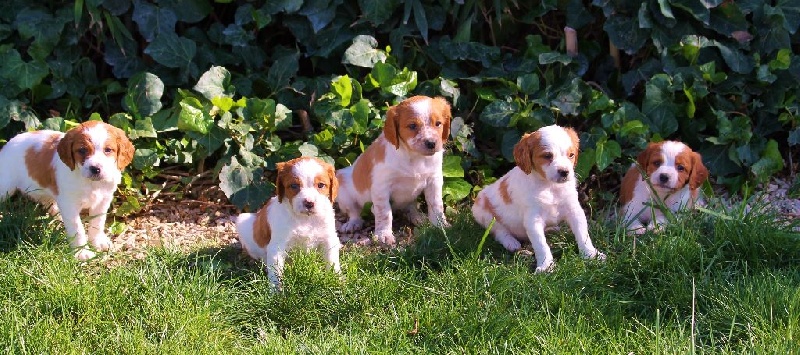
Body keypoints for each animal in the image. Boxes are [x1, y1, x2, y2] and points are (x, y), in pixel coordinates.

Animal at [0, 121, 134, 260]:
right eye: (82, 150)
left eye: (108, 150)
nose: (95, 169)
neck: (90, 183)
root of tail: (6, 146)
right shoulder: (69, 204)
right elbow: (77, 228)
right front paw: (82, 252)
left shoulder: (103, 199)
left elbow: (98, 222)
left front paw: (98, 242)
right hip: (5, 186)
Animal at [234, 157, 340, 288]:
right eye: (294, 185)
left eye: (321, 185)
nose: (309, 203)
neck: (305, 219)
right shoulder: (277, 247)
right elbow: (276, 274)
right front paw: (276, 292)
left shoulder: (329, 239)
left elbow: (332, 262)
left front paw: (337, 283)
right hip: (242, 221)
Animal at [334, 96, 454, 246]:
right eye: (412, 126)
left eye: (438, 123)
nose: (431, 143)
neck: (415, 157)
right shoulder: (381, 187)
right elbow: (385, 213)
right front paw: (384, 235)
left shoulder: (434, 180)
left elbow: (436, 204)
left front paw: (441, 225)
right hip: (344, 191)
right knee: (355, 212)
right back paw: (353, 224)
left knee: (411, 206)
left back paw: (417, 217)